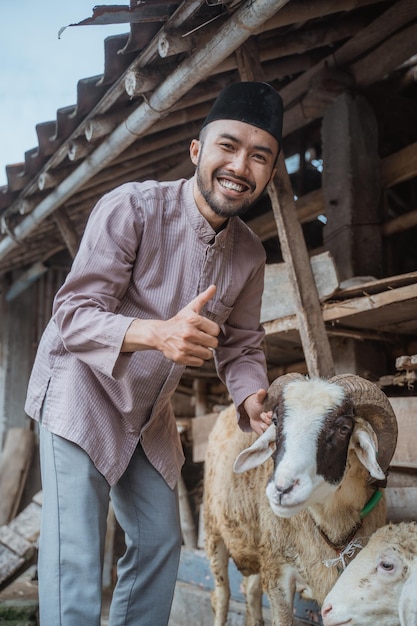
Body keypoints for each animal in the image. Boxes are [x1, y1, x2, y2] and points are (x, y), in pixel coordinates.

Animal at [203, 372, 398, 620]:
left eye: (344, 428)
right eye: (276, 422)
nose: (282, 489)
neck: (333, 524)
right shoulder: (277, 573)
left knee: (251, 590)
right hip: (213, 529)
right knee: (221, 595)